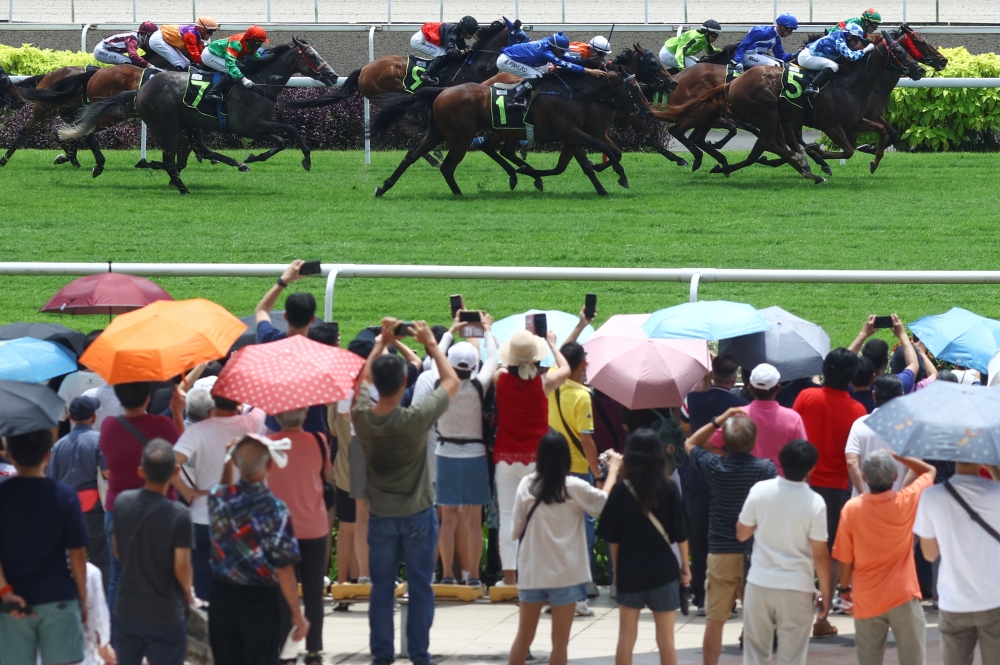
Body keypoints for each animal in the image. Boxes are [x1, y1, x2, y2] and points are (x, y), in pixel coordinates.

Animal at [60, 38, 338, 191]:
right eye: (311, 55)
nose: (333, 76)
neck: (259, 83)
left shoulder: (257, 125)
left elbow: (282, 140)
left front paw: (253, 156)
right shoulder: (250, 125)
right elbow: (289, 132)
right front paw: (305, 159)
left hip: (185, 123)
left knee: (193, 150)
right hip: (159, 123)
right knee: (93, 131)